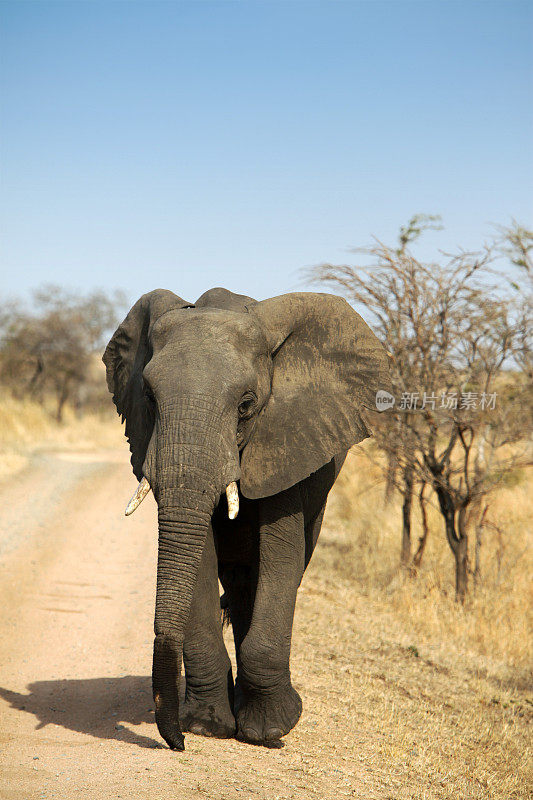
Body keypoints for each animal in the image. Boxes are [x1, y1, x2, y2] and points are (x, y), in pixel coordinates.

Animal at [102, 288, 390, 752]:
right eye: (148, 398)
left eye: (246, 405)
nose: (177, 744)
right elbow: (197, 552)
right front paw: (206, 726)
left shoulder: (287, 437)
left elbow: (281, 556)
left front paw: (271, 731)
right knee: (239, 585)